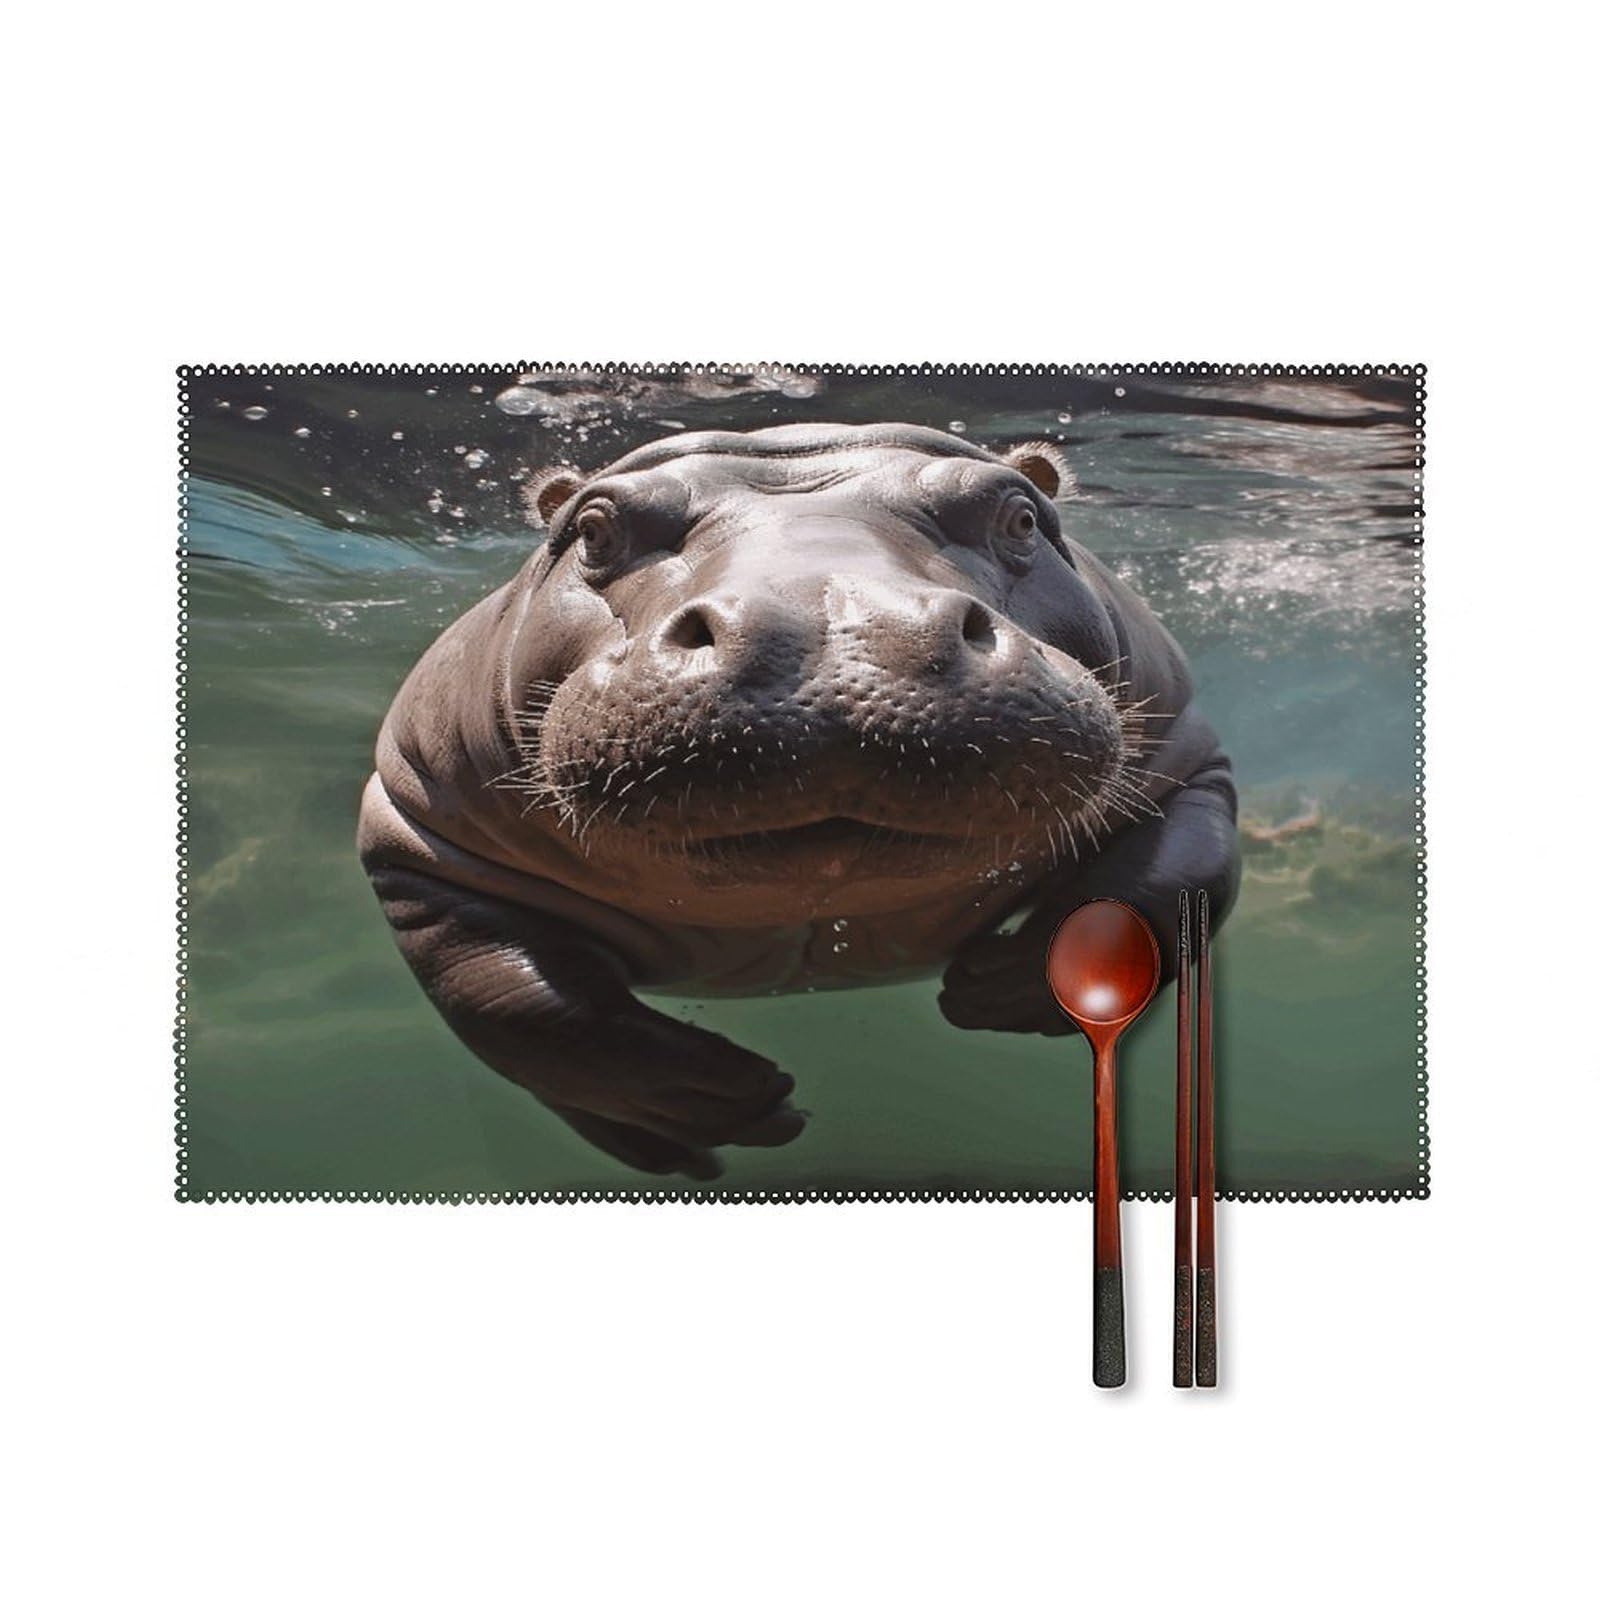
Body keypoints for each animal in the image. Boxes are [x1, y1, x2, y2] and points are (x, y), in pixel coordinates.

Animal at [357, 423, 1239, 1177]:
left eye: (1020, 516)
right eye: (597, 530)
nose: (831, 623)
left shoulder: (1190, 767)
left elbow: (1171, 883)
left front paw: (998, 988)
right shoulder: (417, 836)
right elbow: (515, 1005)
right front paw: (729, 1100)